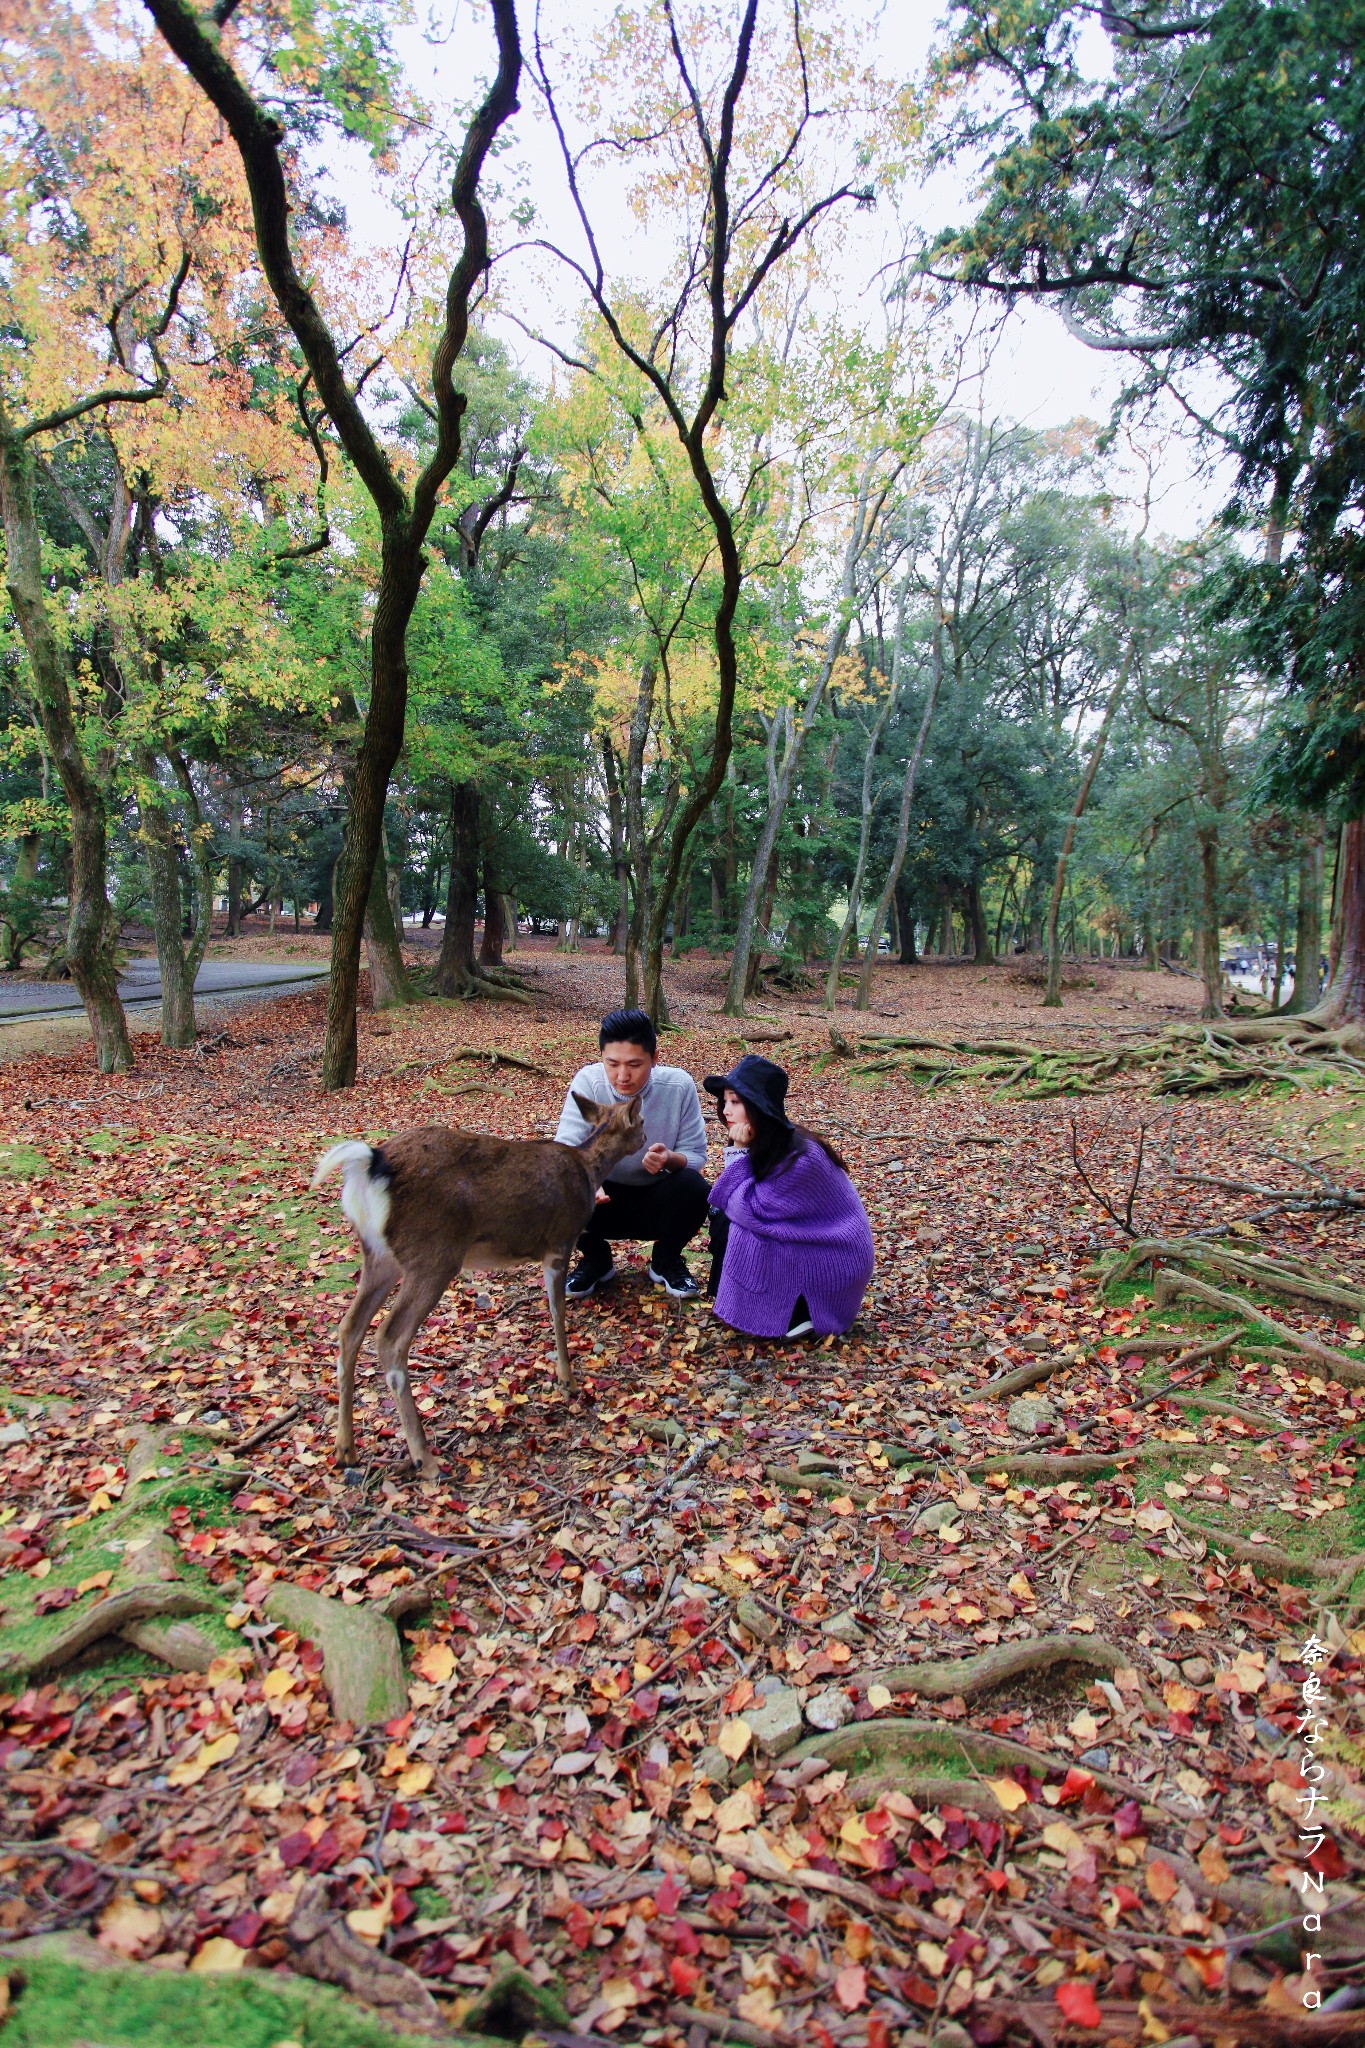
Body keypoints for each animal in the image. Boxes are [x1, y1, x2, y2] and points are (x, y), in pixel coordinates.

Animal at [315, 1097, 646, 1482]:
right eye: (640, 1120)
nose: (646, 1137)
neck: (587, 1169)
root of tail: (372, 1163)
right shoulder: (559, 1241)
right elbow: (557, 1311)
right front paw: (568, 1381)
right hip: (434, 1253)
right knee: (390, 1336)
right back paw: (424, 1460)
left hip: (380, 1256)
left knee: (349, 1327)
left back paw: (345, 1449)